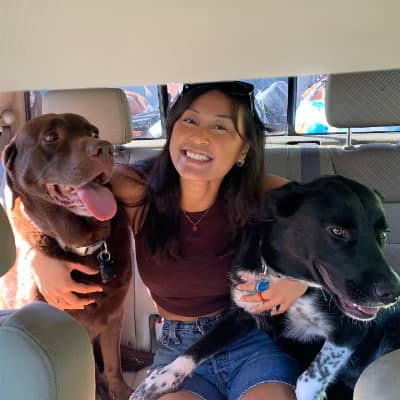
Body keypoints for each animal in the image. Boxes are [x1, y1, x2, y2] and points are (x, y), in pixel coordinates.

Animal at [1, 113, 133, 400]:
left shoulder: (114, 315)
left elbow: (113, 362)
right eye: (51, 137)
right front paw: (101, 388)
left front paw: (120, 390)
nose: (105, 148)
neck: (84, 246)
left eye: (94, 132)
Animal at [130, 175, 400, 400]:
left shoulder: (349, 332)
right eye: (337, 231)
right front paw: (158, 381)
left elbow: (308, 379)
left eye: (383, 234)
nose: (394, 292)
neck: (286, 278)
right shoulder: (241, 315)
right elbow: (197, 348)